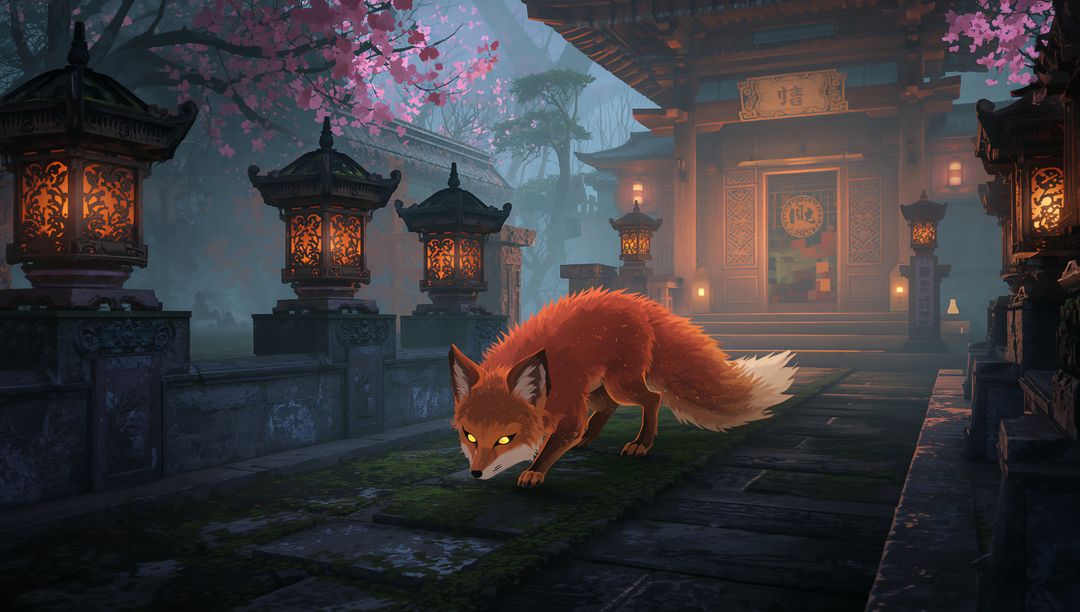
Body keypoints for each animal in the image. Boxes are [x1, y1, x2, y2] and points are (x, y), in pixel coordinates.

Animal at [449, 288, 798, 488]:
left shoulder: (570, 409)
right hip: (598, 388)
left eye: (505, 438)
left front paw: (535, 471)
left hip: (620, 384)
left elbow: (555, 441)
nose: (476, 474)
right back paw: (590, 438)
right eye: (470, 436)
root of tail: (638, 303)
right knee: (608, 407)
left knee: (653, 398)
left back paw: (641, 442)